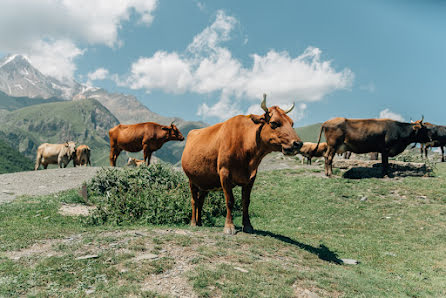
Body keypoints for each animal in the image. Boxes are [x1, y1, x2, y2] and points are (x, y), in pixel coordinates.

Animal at [181, 95, 304, 235]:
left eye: (292, 123)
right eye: (274, 123)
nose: (298, 143)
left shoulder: (251, 177)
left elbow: (246, 202)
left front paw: (248, 225)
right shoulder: (224, 173)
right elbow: (230, 201)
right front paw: (229, 227)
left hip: (205, 182)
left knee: (201, 200)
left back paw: (200, 222)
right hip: (191, 179)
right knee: (194, 200)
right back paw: (193, 223)